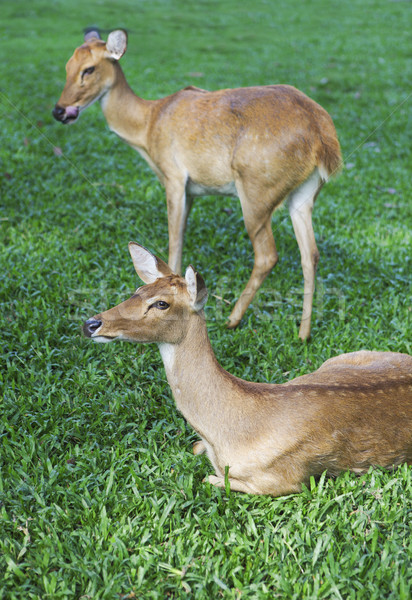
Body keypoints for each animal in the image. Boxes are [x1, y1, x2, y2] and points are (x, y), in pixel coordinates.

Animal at [54, 29, 342, 338]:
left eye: (89, 69)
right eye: (67, 65)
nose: (59, 111)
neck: (148, 125)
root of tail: (323, 138)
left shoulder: (174, 177)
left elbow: (174, 240)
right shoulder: (192, 191)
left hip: (257, 191)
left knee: (267, 254)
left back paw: (232, 319)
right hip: (304, 194)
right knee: (310, 254)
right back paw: (303, 333)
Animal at [83, 244, 412, 496]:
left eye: (161, 303)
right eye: (138, 289)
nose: (91, 323)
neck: (226, 433)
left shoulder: (285, 478)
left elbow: (214, 479)